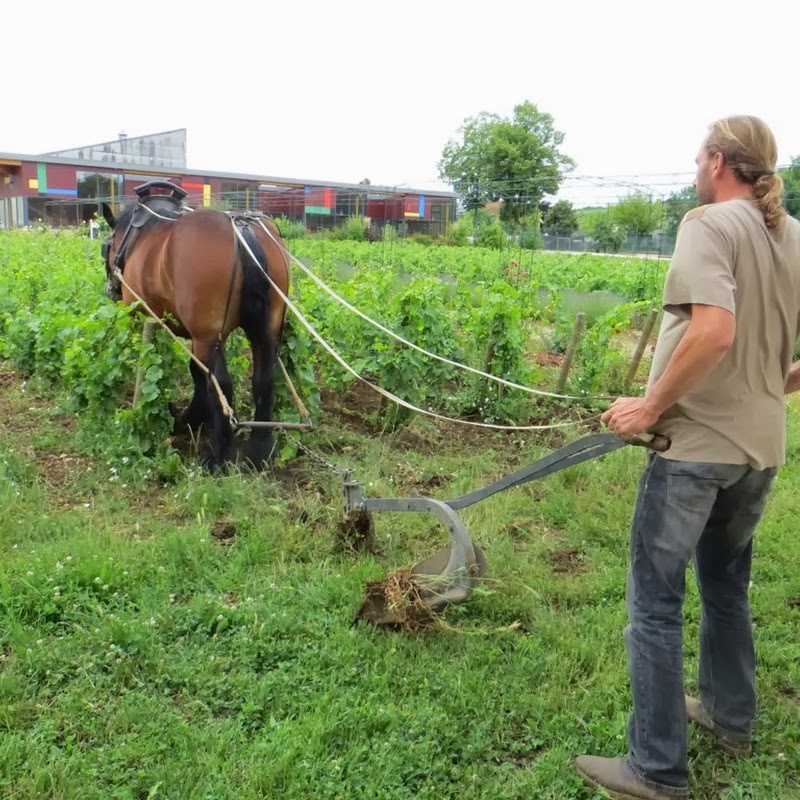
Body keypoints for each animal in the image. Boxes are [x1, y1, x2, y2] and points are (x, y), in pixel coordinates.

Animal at [101, 181, 290, 468]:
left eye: (107, 245)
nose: (112, 290)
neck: (143, 235)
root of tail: (243, 230)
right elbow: (195, 371)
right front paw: (192, 417)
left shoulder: (152, 321)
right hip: (264, 330)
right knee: (264, 378)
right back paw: (260, 451)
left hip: (209, 337)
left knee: (222, 384)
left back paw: (215, 456)